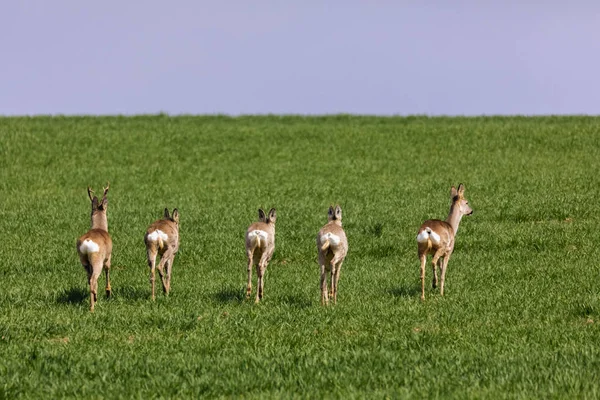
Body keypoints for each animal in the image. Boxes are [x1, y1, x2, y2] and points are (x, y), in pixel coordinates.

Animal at [76, 184, 112, 312]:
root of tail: (87, 243)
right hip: (97, 260)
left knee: (89, 279)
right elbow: (108, 270)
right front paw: (108, 292)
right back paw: (93, 305)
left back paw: (93, 302)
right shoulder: (108, 257)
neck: (100, 228)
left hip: (84, 261)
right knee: (93, 279)